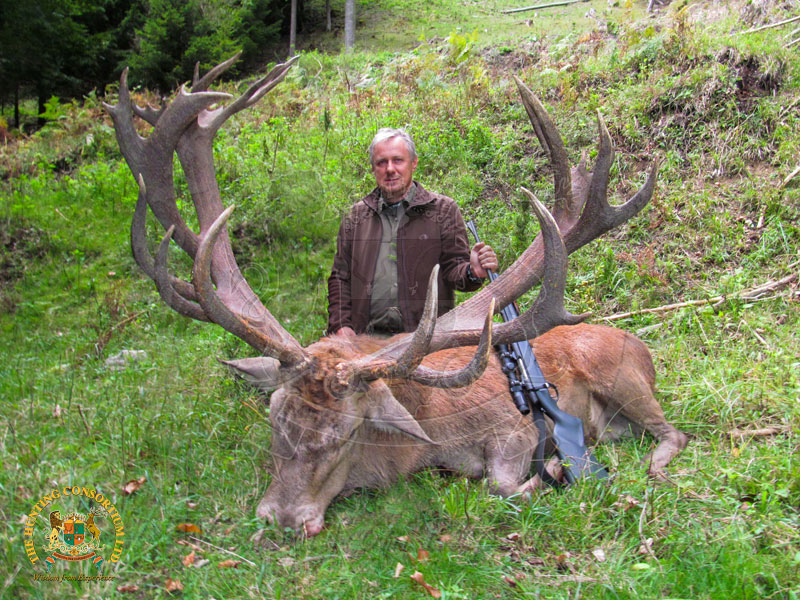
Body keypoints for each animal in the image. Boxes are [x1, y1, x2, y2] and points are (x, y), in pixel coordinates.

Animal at [104, 55, 687, 537]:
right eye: (275, 421)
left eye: (345, 435)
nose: (284, 518)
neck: (415, 445)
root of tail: (643, 345)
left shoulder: (512, 428)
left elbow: (502, 486)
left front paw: (550, 471)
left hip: (627, 379)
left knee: (674, 433)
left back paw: (650, 463)